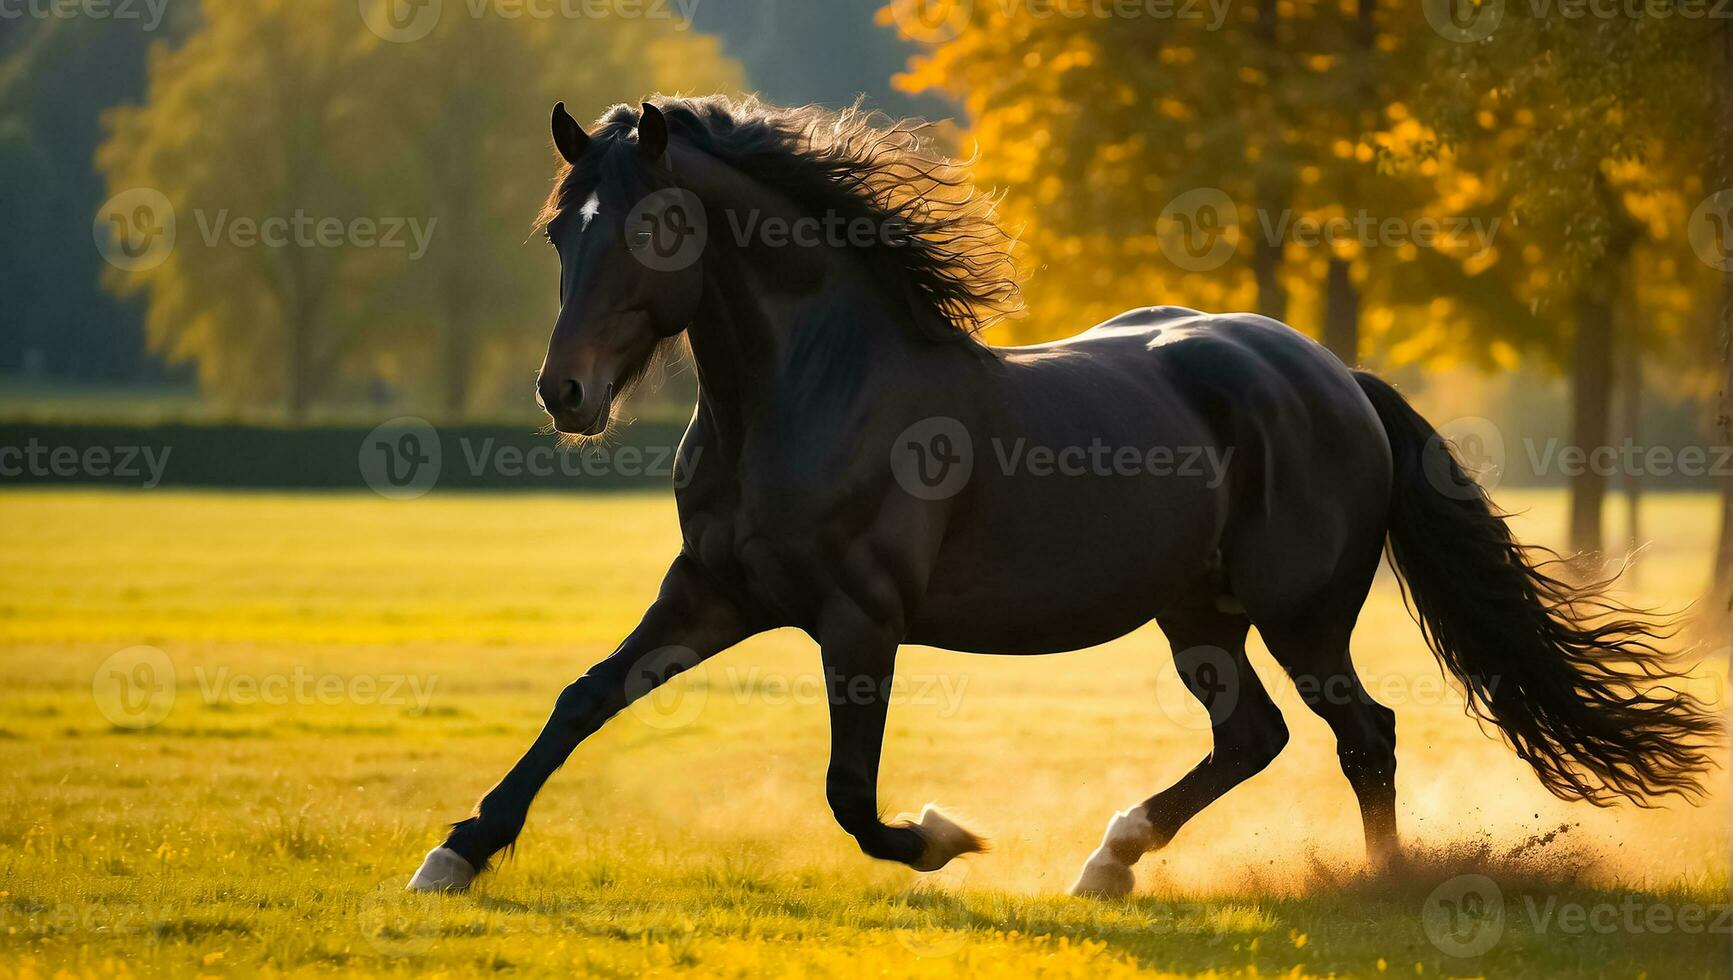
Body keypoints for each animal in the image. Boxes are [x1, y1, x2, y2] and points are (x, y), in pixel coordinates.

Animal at [408, 97, 1719, 895]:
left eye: (658, 226)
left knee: (1362, 732)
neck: (807, 391)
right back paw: (1111, 859)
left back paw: (1374, 881)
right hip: (1197, 616)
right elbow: (584, 698)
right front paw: (455, 852)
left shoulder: (858, 619)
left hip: (1299, 615)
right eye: (559, 231)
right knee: (1254, 734)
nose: (564, 392)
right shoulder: (711, 591)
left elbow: (850, 794)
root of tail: (1330, 373)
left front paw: (949, 835)